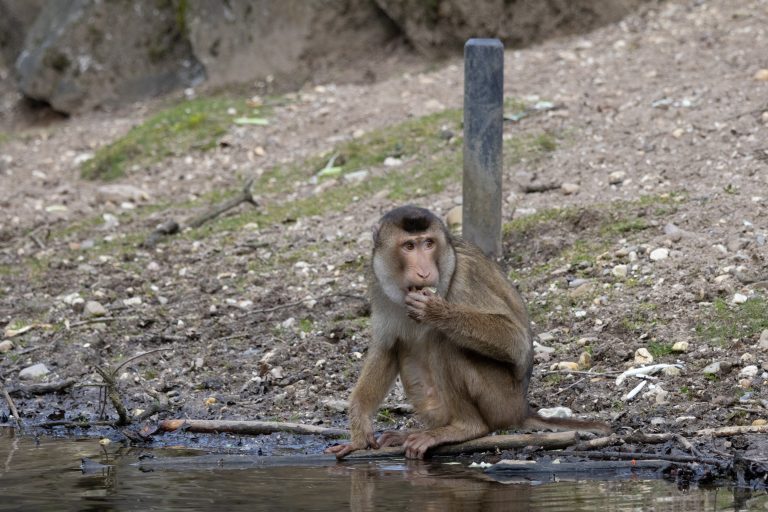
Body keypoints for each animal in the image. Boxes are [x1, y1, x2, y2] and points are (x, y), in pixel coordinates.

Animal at [326, 205, 612, 460]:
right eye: (409, 246)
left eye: (428, 243)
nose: (424, 272)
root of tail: (522, 409)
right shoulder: (378, 286)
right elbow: (386, 349)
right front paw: (359, 434)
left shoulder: (465, 275)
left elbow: (515, 339)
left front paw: (437, 312)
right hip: (438, 408)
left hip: (501, 402)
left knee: (447, 343)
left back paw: (465, 427)